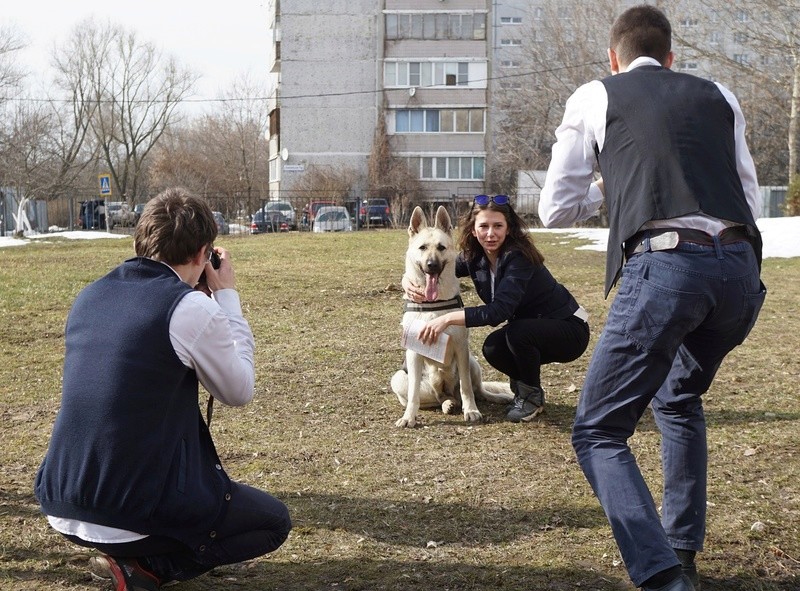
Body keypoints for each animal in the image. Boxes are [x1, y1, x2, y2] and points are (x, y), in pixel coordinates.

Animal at [390, 206, 512, 428]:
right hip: (399, 378)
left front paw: (471, 411)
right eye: (422, 248)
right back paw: (448, 404)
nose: (431, 265)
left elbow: (466, 387)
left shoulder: (461, 348)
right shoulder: (413, 353)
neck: (433, 303)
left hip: (473, 362)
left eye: (441, 247)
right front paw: (409, 417)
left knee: (477, 390)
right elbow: (413, 394)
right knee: (437, 398)